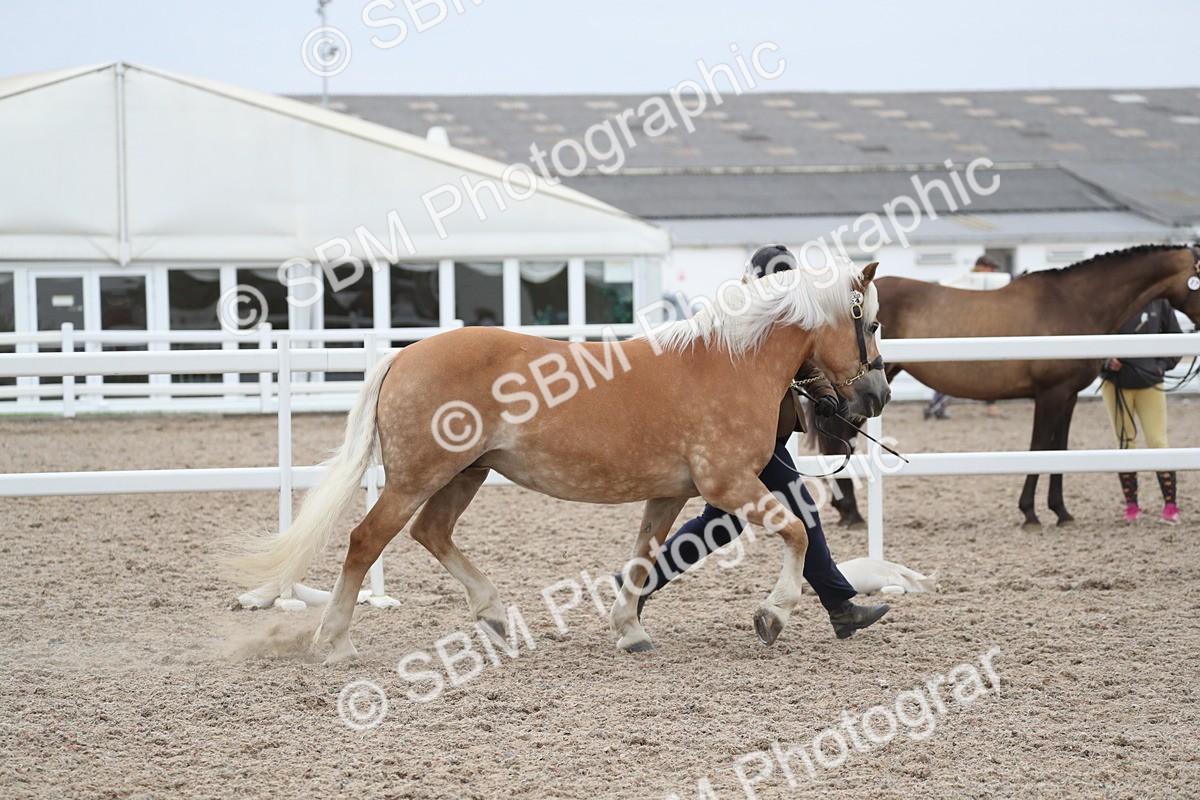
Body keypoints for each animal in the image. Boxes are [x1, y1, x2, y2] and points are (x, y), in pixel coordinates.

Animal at [225, 261, 891, 663]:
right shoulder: (727, 483)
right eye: (874, 322)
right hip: (418, 476)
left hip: (467, 473)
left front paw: (630, 628)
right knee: (367, 540)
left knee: (431, 533)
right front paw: (772, 616)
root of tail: (405, 355)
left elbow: (645, 556)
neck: (730, 361)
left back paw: (494, 616)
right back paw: (334, 641)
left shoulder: (671, 492)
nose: (876, 395)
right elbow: (796, 532)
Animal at [816, 244, 1200, 528]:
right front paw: (1030, 512)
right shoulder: (1049, 395)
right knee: (839, 437)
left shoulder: (1068, 396)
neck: (1074, 303)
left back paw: (848, 511)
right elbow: (1039, 448)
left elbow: (1060, 449)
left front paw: (1061, 511)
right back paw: (851, 513)